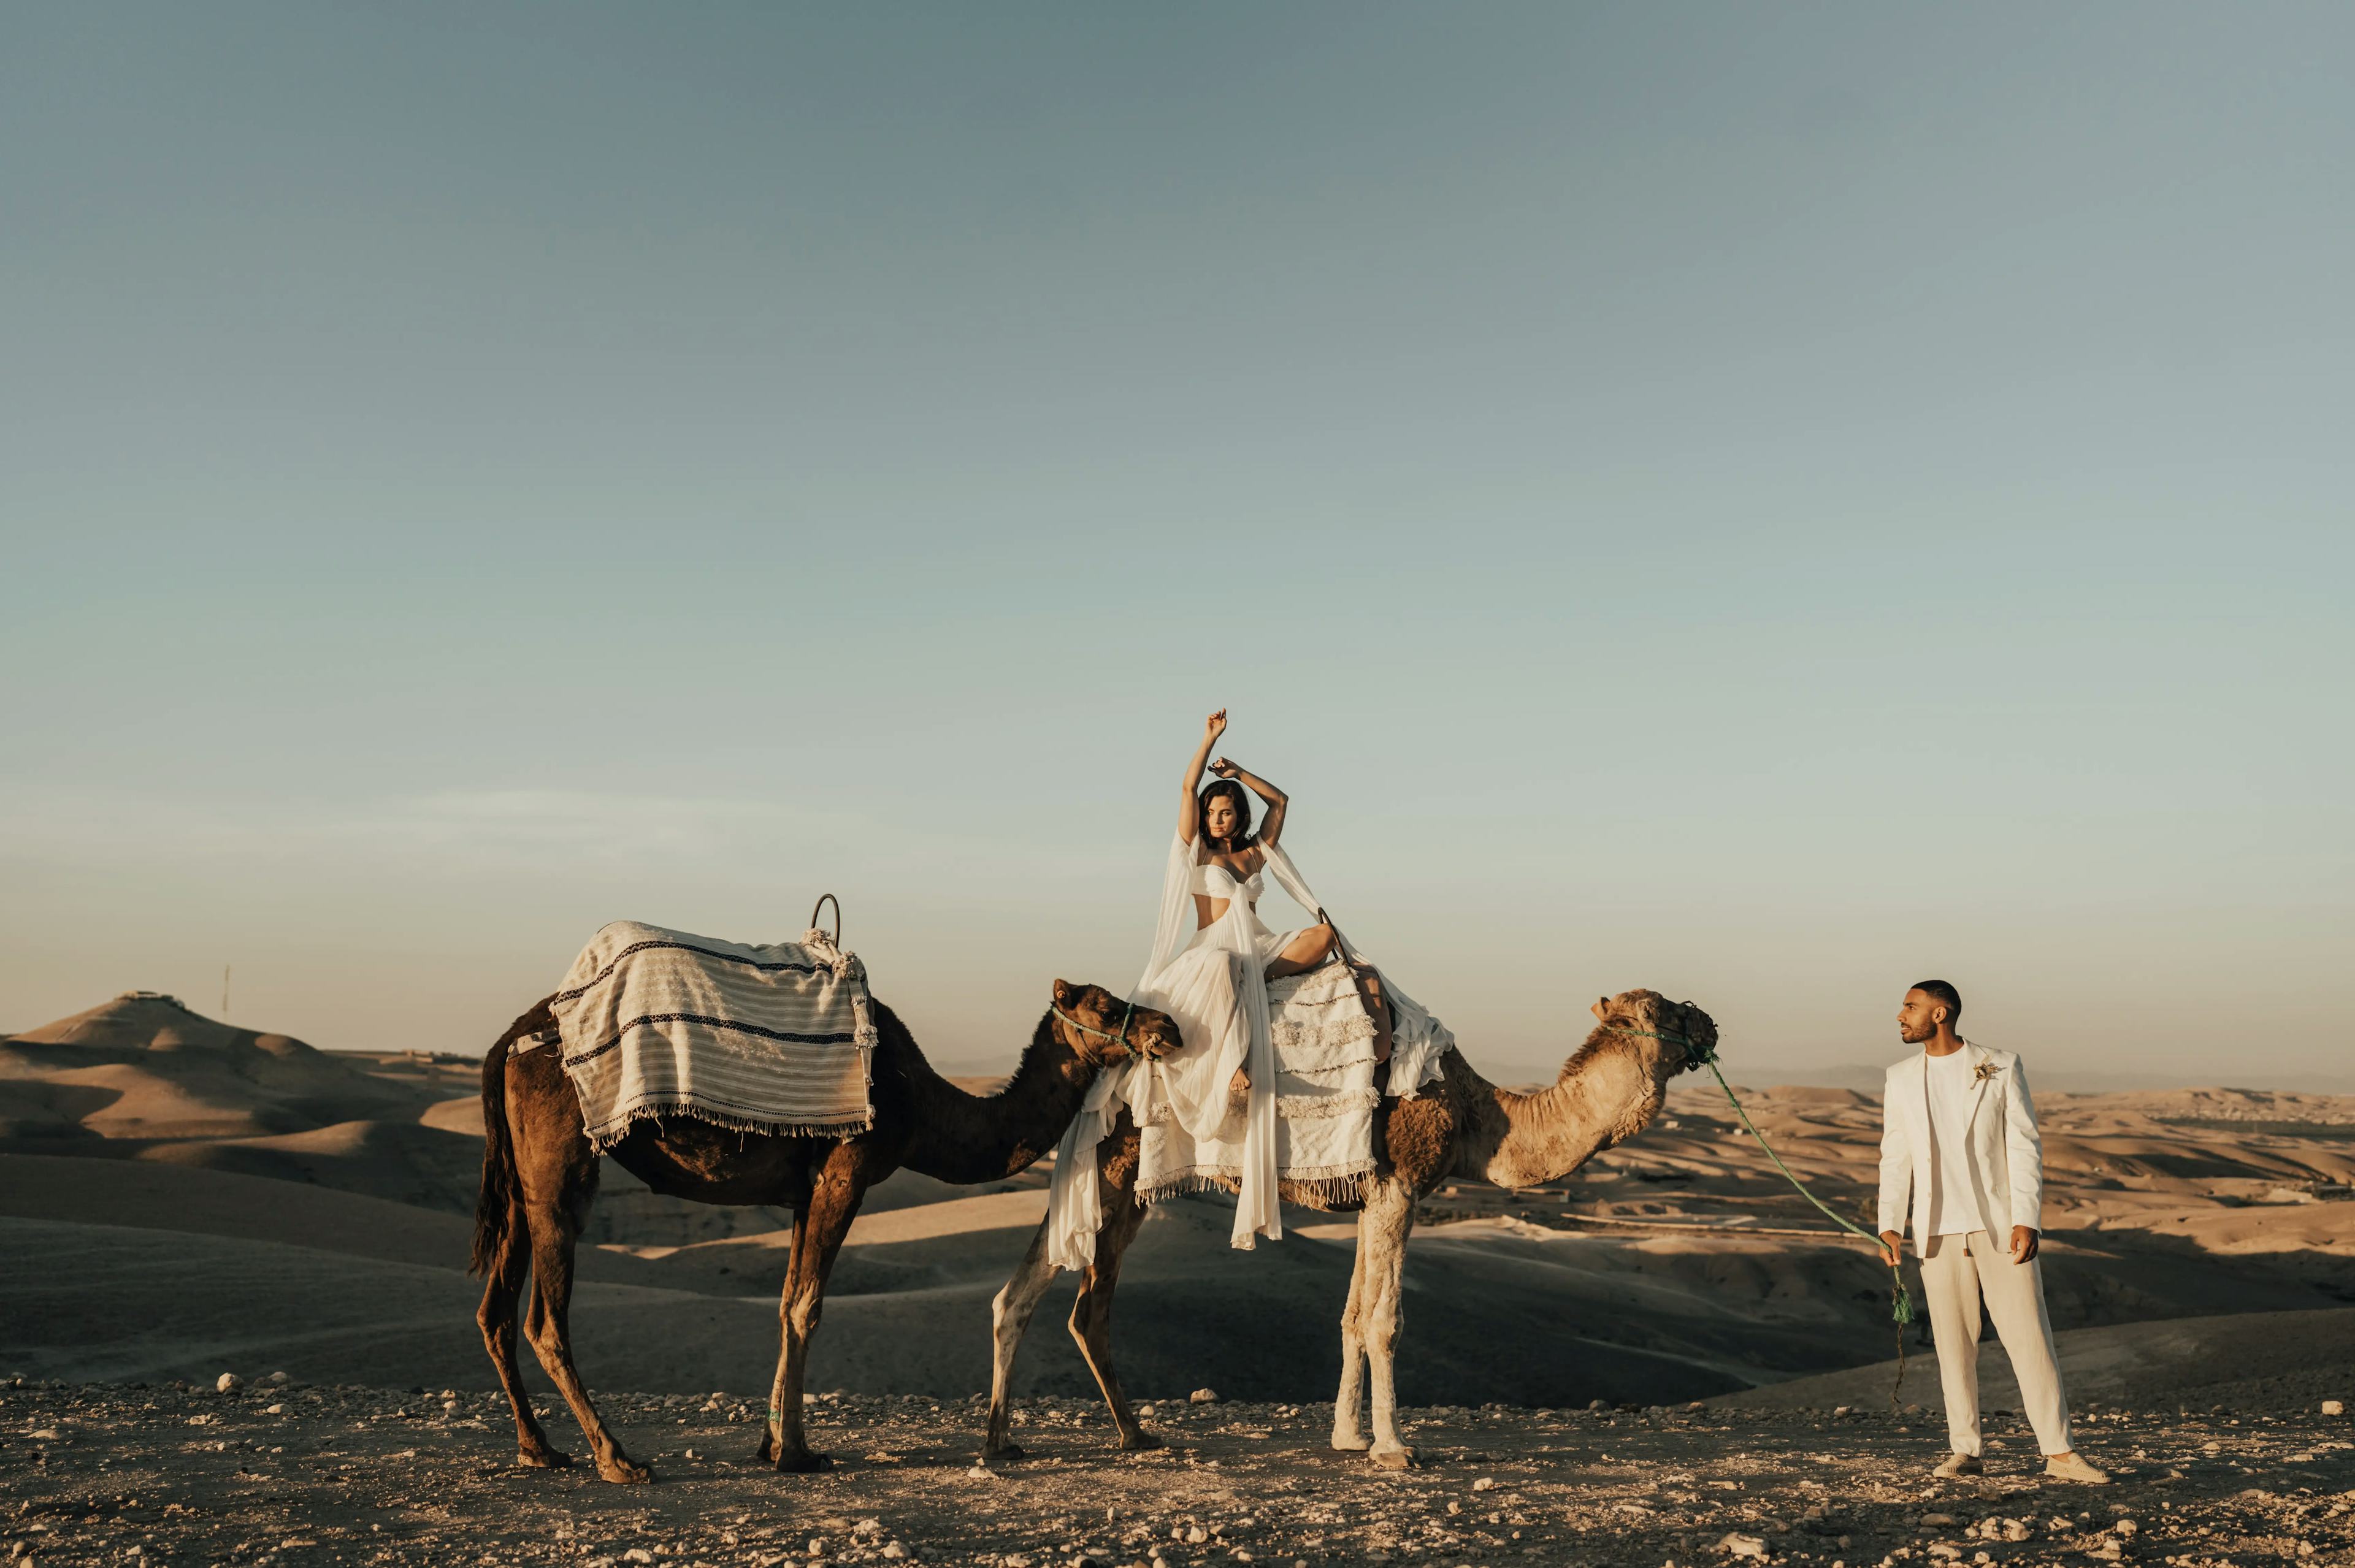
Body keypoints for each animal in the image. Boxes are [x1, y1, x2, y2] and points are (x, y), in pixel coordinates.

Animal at [469, 969, 1178, 1469]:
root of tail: (507, 1044)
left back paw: (541, 1449)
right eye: (1106, 1006)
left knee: (495, 1311)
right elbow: (808, 1306)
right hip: (561, 1171)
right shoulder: (846, 1174)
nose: (1168, 1026)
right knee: (544, 1318)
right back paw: (615, 1457)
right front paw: (797, 1453)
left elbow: (786, 1301)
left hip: (520, 1185)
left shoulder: (803, 1194)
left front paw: (772, 1442)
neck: (922, 1104)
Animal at [975, 989, 1714, 1469]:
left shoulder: (1367, 1195)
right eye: (1660, 1011)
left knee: (1047, 1299)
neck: (1481, 1118)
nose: (1709, 1023)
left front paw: (1349, 1437)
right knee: (1048, 1295)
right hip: (1110, 1168)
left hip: (1122, 1181)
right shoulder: (1400, 1184)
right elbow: (1386, 1320)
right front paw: (1394, 1449)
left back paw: (1090, 1436)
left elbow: (1353, 1315)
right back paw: (1028, 1440)